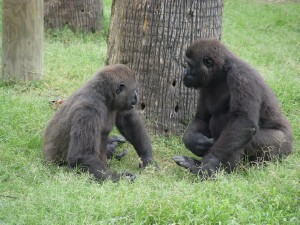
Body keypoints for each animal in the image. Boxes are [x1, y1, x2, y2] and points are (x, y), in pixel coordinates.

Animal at [172, 39, 292, 178]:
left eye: (189, 65)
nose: (183, 74)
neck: (222, 70)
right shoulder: (205, 83)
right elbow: (202, 118)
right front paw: (194, 142)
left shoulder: (241, 77)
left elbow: (242, 122)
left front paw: (207, 168)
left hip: (282, 146)